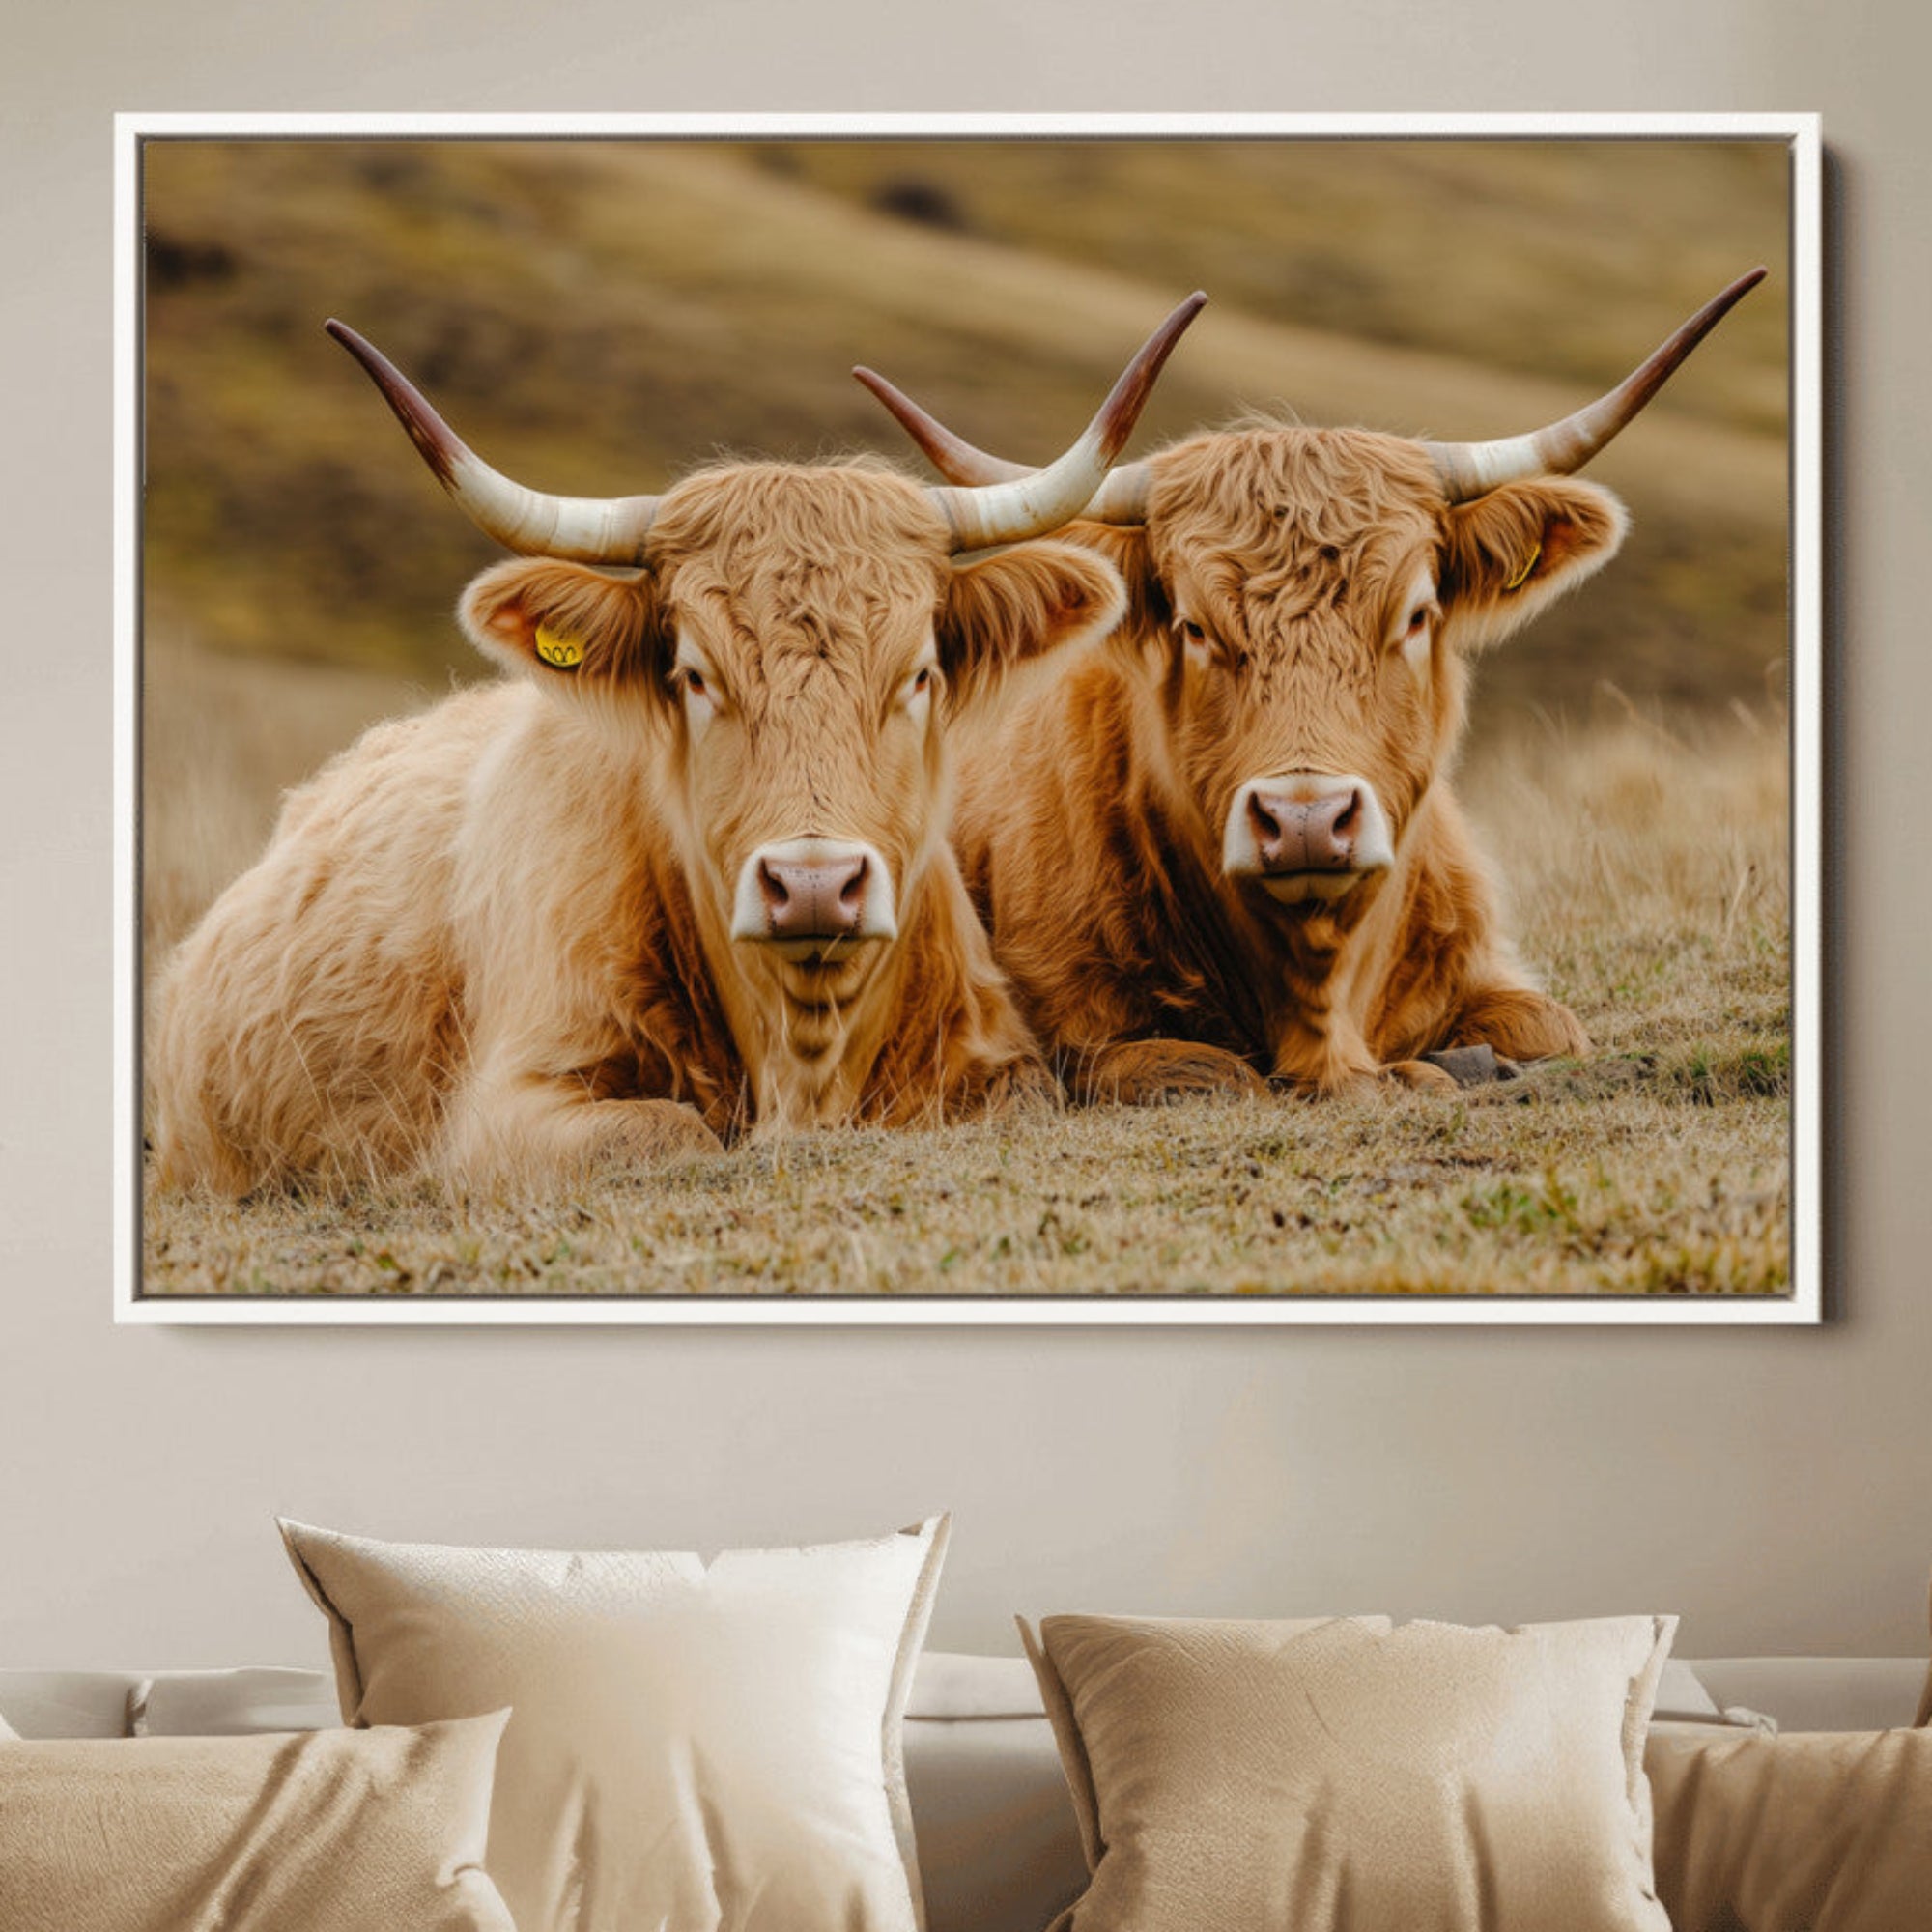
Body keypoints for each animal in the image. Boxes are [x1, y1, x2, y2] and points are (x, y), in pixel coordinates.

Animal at [148, 296, 1204, 1194]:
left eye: (919, 672)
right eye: (695, 675)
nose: (813, 884)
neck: (801, 1054)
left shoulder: (1002, 1061)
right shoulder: (506, 1104)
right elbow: (665, 1131)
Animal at [855, 271, 1765, 1102]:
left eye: (1416, 613)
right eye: (1194, 626)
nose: (1306, 820)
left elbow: (1551, 1029)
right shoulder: (1060, 1032)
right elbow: (1209, 1074)